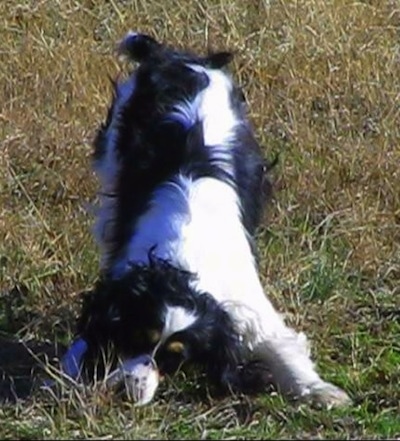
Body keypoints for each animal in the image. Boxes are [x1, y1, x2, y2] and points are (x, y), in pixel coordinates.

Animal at [58, 32, 350, 408]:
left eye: (174, 359)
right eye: (134, 336)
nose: (126, 389)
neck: (184, 265)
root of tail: (180, 58)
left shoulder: (249, 309)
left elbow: (283, 350)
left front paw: (321, 391)